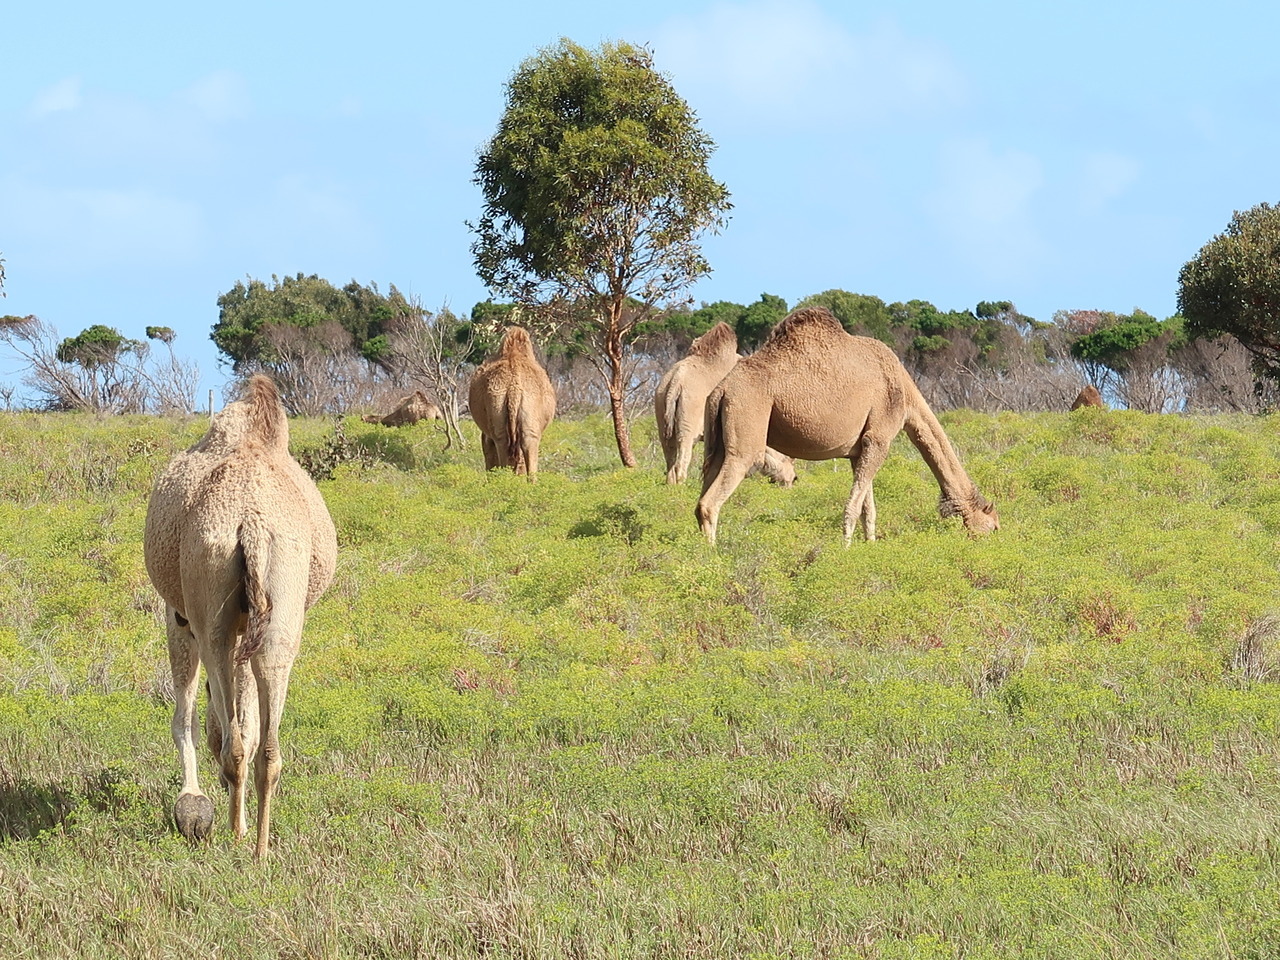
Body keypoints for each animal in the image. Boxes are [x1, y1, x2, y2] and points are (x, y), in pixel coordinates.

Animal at [143, 375, 337, 858]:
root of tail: (250, 521)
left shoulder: (178, 615)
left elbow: (188, 718)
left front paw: (192, 804)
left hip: (208, 611)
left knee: (226, 734)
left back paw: (230, 831)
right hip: (281, 609)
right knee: (265, 740)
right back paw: (260, 847)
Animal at [655, 322, 797, 487]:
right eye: (789, 459)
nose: (793, 479)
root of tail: (676, 380)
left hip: (662, 411)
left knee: (669, 457)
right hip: (689, 420)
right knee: (681, 460)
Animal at [696, 307, 999, 545]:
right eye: (994, 525)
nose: (994, 540)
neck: (906, 396)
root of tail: (722, 389)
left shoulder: (859, 449)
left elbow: (868, 507)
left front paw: (870, 545)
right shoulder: (879, 438)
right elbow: (854, 506)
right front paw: (846, 549)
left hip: (718, 439)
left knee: (703, 490)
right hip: (747, 422)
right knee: (712, 500)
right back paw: (713, 555)